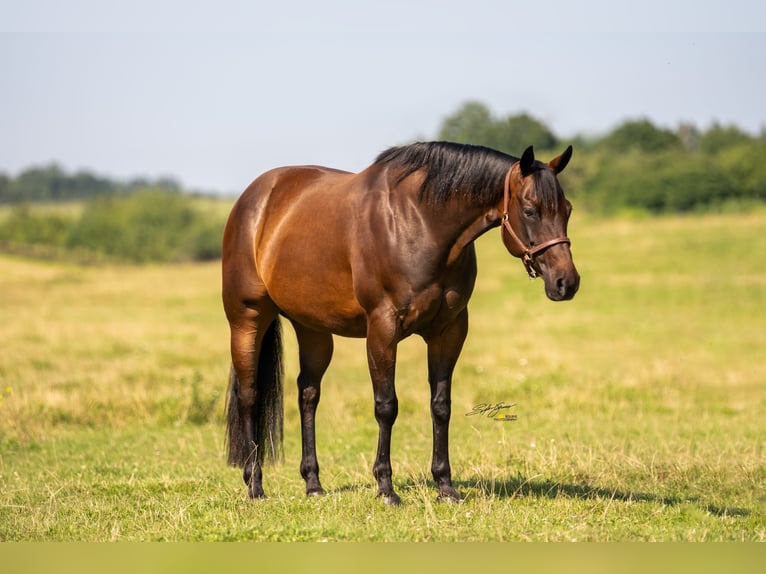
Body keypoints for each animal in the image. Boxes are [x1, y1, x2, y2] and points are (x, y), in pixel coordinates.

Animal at [222, 141, 580, 504]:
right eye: (531, 210)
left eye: (567, 209)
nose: (566, 282)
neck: (421, 224)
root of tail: (255, 198)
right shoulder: (382, 329)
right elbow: (386, 406)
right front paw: (386, 488)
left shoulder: (449, 331)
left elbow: (441, 406)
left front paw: (445, 486)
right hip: (247, 320)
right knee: (249, 395)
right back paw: (254, 485)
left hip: (313, 330)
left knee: (308, 394)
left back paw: (313, 484)